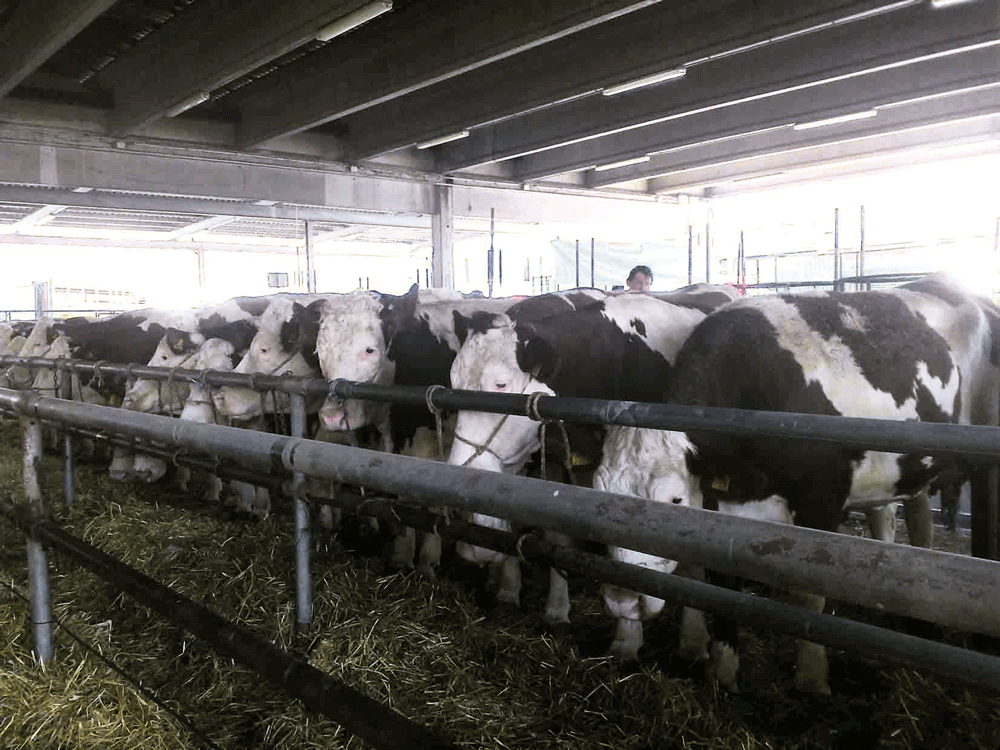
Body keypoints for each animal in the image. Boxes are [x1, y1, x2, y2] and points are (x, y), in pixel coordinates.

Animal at [592, 274, 1000, 696]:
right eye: (598, 495)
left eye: (673, 500)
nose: (622, 601)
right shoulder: (721, 507)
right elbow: (721, 583)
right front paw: (723, 670)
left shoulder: (820, 503)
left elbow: (809, 594)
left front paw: (811, 679)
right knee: (916, 524)